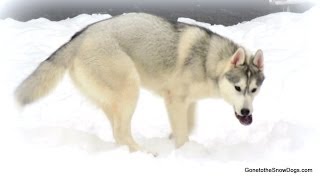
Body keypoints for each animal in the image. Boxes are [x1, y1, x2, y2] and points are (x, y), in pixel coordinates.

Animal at [15, 13, 264, 152]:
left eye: (253, 90)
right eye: (238, 88)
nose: (246, 113)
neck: (208, 62)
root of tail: (77, 38)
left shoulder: (188, 102)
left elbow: (188, 126)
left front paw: (172, 139)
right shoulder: (174, 99)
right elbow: (183, 132)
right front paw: (183, 151)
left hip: (112, 99)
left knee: (118, 132)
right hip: (130, 88)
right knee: (121, 132)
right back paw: (146, 153)